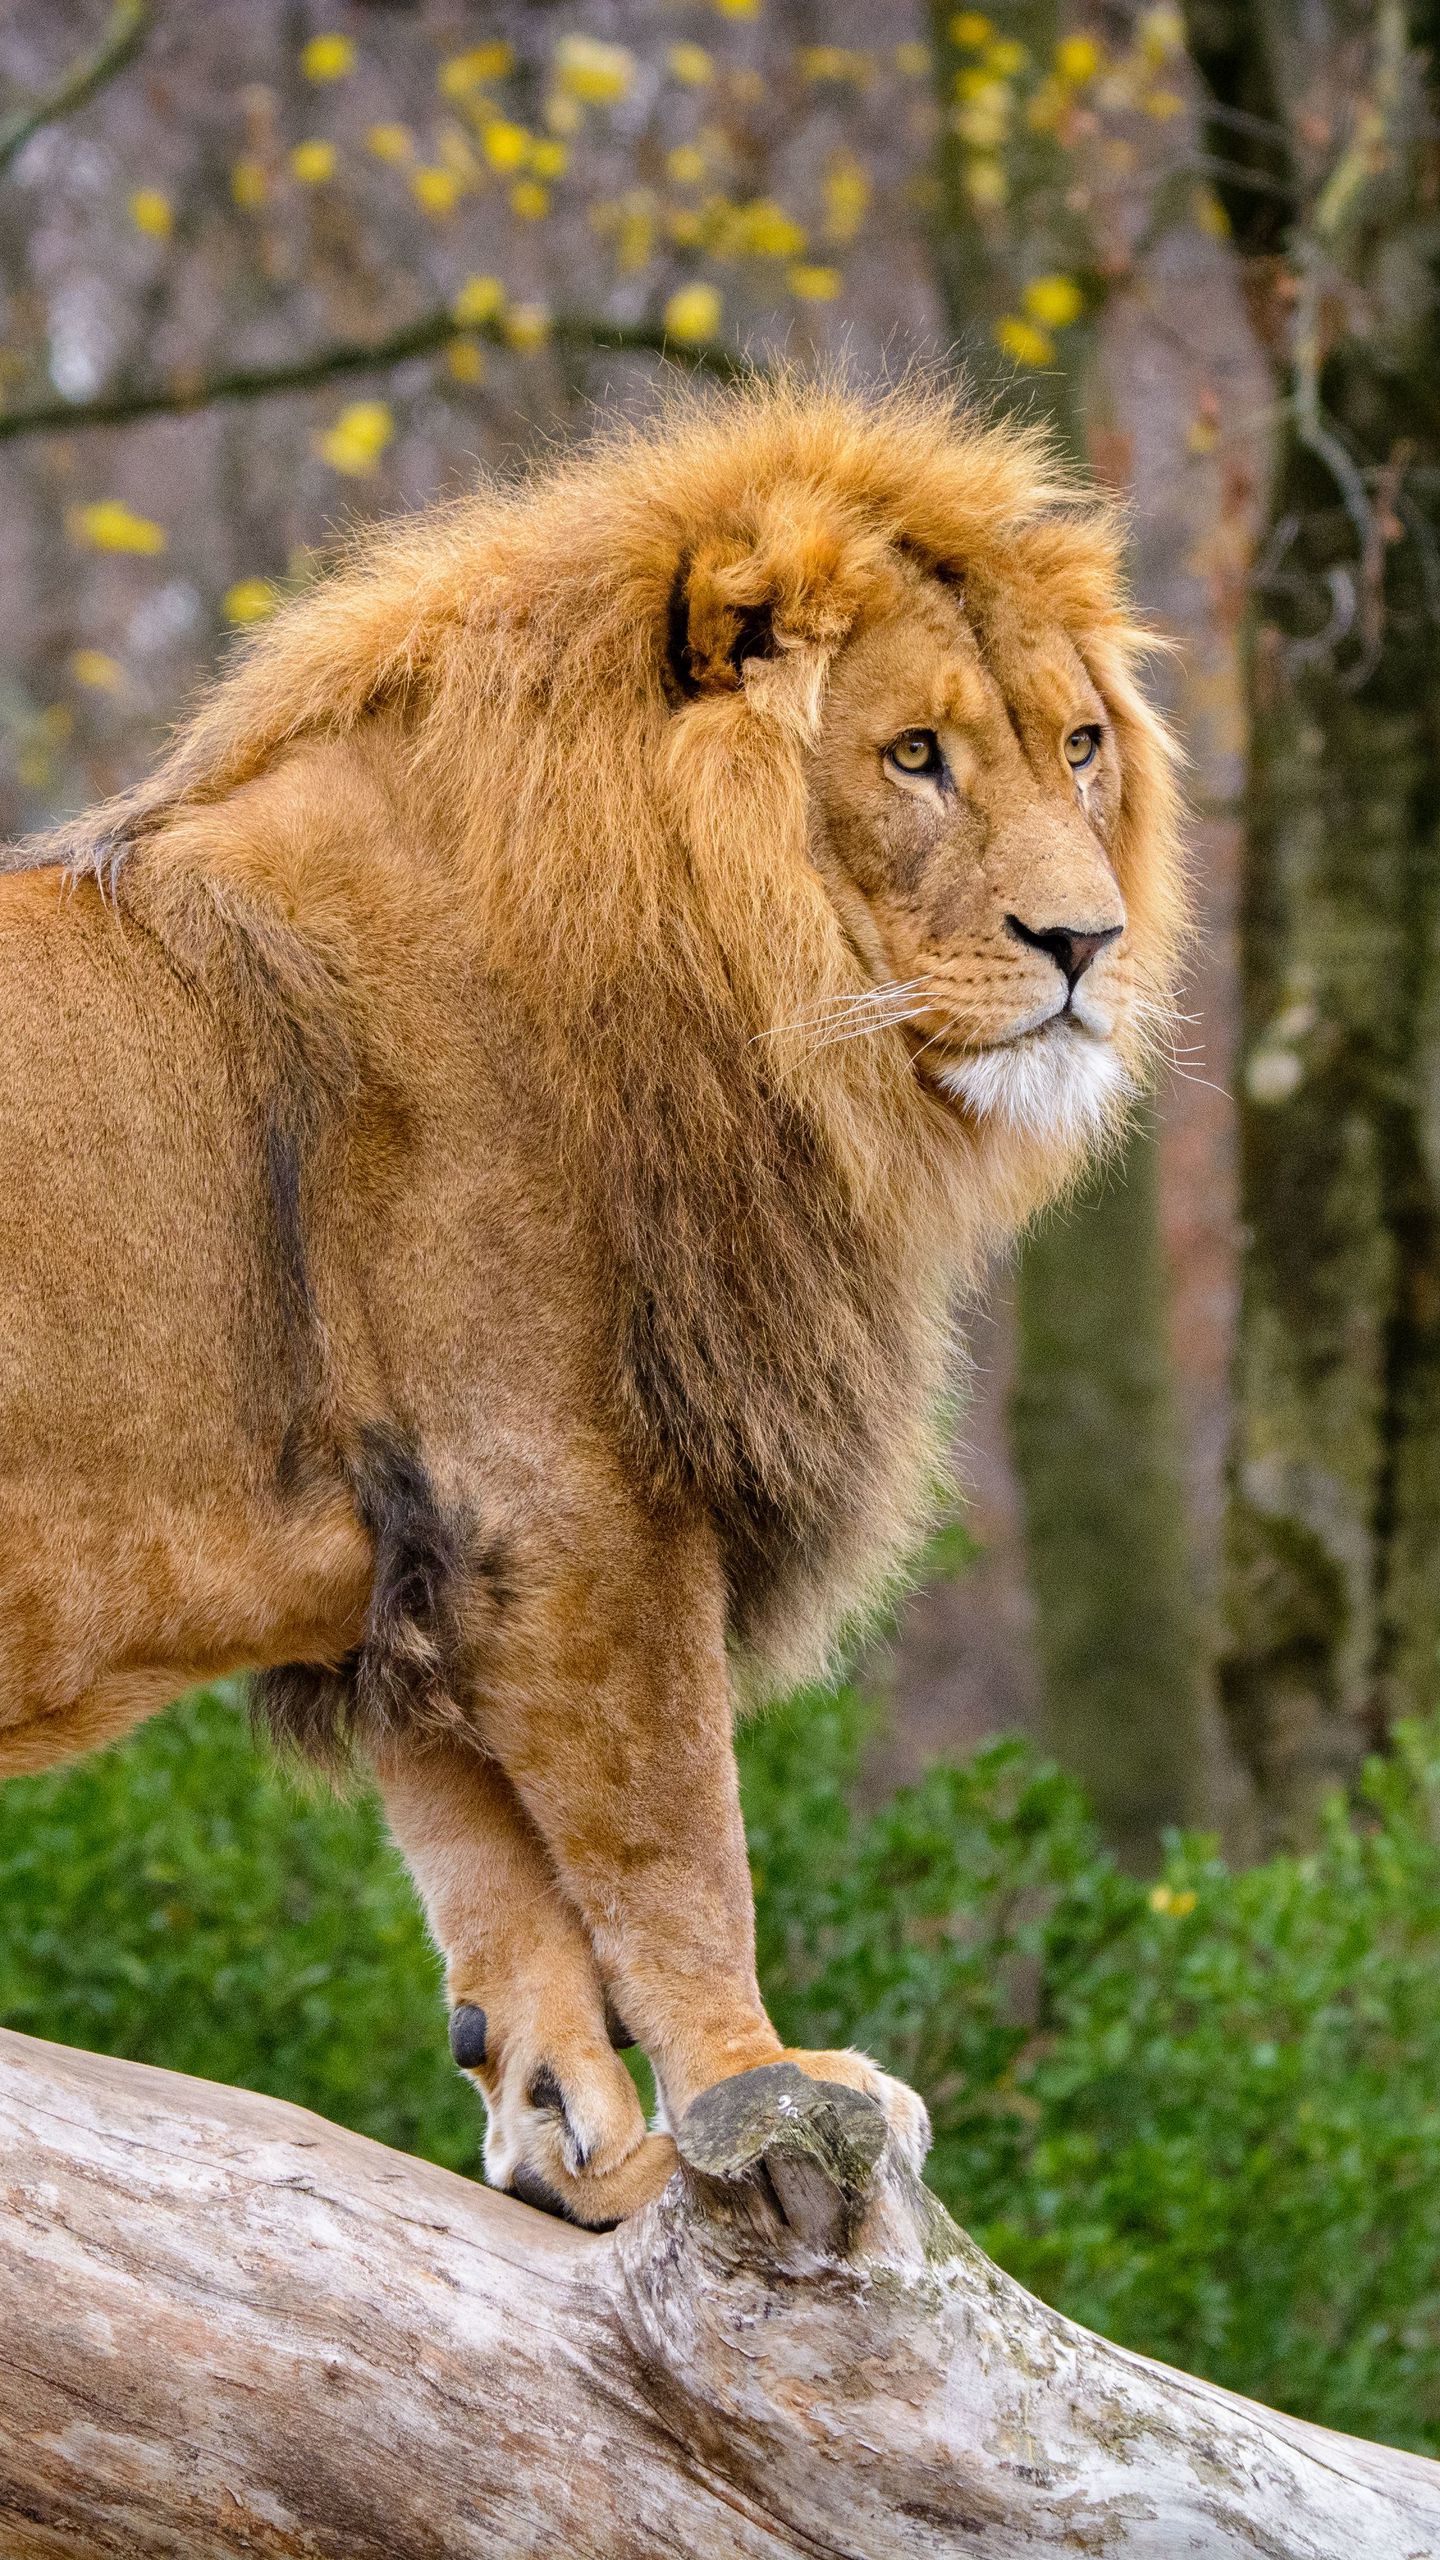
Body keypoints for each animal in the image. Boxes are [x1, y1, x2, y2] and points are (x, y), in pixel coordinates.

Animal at [0, 377, 1183, 2225]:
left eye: (1077, 746)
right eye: (915, 756)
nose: (1088, 943)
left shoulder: (417, 1561)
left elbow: (493, 1879)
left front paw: (584, 2147)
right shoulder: (568, 1501)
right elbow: (677, 1843)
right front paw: (770, 2087)